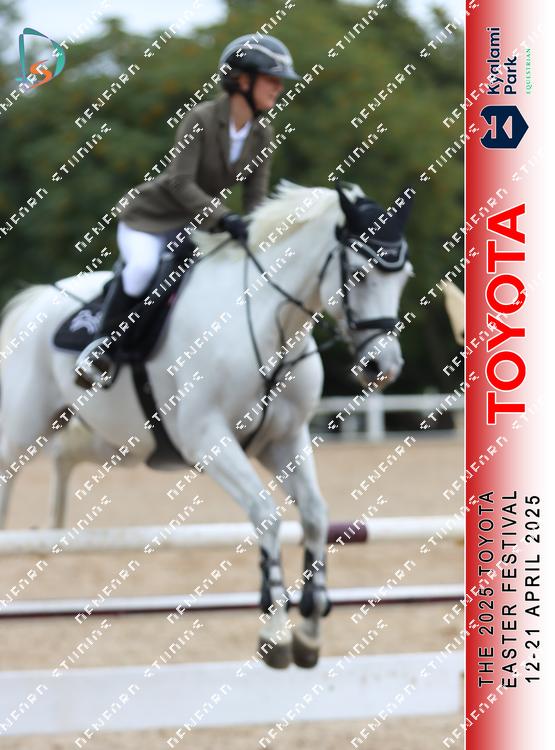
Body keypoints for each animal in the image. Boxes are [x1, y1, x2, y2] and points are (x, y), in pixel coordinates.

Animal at [0, 181, 413, 669]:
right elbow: (266, 514)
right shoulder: (207, 440)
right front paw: (274, 631)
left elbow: (314, 516)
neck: (271, 324)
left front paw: (310, 631)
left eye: (403, 278)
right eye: (361, 274)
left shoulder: (284, 440)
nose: (383, 368)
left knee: (64, 456)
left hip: (113, 442)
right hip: (22, 430)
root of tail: (35, 299)